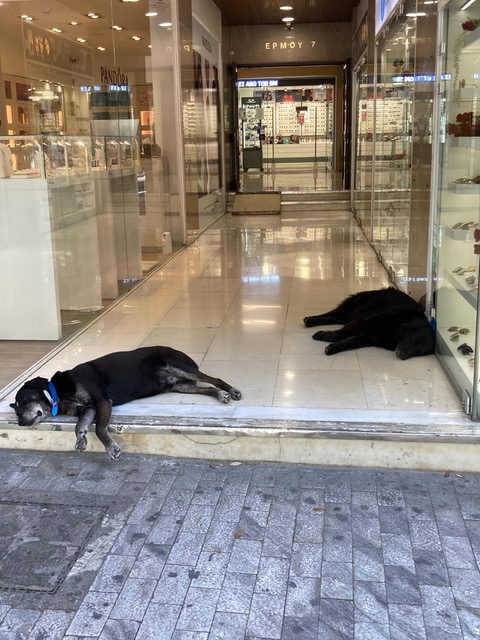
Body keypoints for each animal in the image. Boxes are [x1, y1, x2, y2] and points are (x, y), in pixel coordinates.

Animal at [10, 344, 244, 460]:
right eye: (16, 411)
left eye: (23, 400)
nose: (20, 423)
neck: (57, 392)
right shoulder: (88, 409)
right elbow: (80, 426)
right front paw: (80, 440)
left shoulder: (103, 401)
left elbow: (100, 429)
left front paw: (111, 448)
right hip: (176, 384)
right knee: (207, 388)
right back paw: (220, 395)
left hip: (180, 367)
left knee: (213, 379)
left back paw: (230, 390)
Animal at [304, 286, 436, 360]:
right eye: (413, 341)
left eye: (419, 353)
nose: (401, 356)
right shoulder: (365, 321)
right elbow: (340, 335)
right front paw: (323, 335)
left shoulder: (369, 337)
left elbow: (350, 343)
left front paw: (333, 348)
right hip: (353, 305)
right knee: (331, 313)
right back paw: (310, 320)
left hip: (353, 314)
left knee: (336, 318)